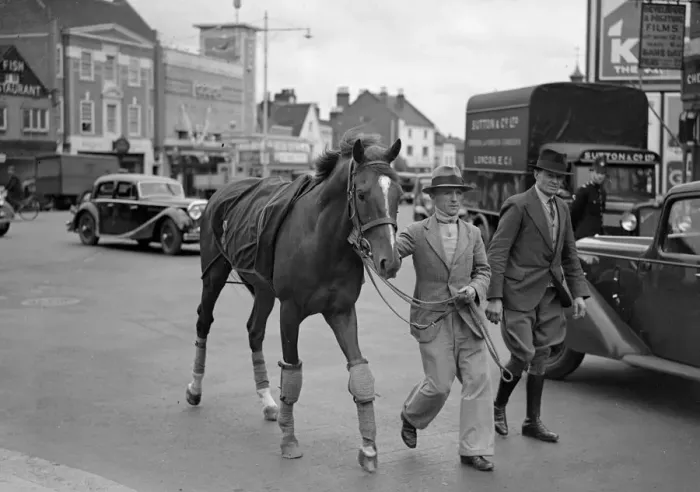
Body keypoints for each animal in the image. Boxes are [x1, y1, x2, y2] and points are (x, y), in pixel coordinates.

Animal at [184, 132, 403, 473]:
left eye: (399, 194)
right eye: (362, 194)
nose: (389, 261)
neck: (322, 239)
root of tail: (223, 189)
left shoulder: (342, 312)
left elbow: (360, 372)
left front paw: (368, 447)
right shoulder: (290, 312)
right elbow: (292, 374)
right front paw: (289, 439)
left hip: (262, 289)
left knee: (254, 331)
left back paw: (266, 399)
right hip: (214, 275)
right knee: (203, 321)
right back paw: (195, 387)